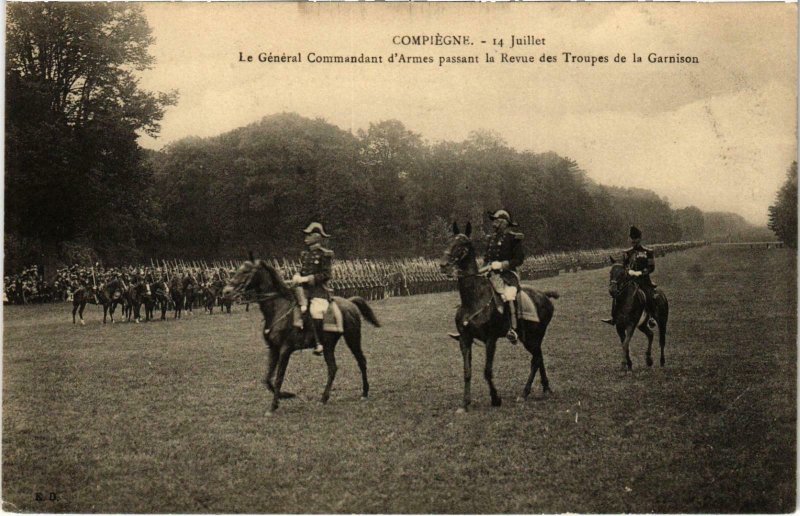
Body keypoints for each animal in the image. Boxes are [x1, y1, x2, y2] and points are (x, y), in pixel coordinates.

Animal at [220, 260, 380, 414]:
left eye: (245, 271)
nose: (226, 291)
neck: (278, 308)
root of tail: (350, 302)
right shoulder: (273, 349)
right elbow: (267, 379)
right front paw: (285, 396)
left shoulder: (285, 350)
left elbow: (279, 378)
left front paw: (273, 406)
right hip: (329, 345)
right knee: (333, 368)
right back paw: (324, 398)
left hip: (352, 338)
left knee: (361, 361)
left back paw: (364, 392)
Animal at [440, 224, 560, 414]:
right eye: (449, 241)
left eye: (463, 244)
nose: (443, 265)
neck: (474, 299)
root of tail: (544, 295)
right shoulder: (465, 340)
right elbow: (467, 371)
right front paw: (465, 404)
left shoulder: (491, 339)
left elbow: (487, 371)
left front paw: (496, 398)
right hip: (529, 338)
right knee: (539, 357)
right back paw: (546, 388)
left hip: (533, 337)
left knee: (535, 360)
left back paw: (524, 393)